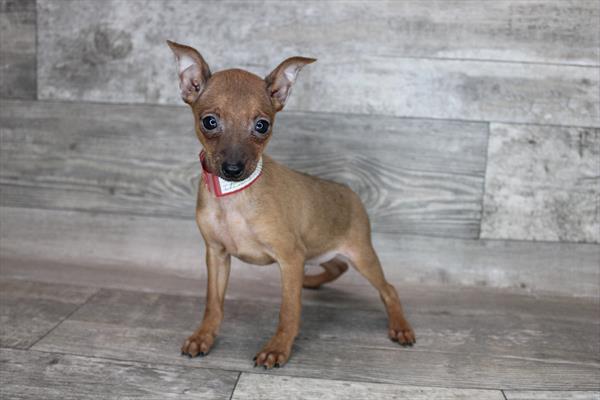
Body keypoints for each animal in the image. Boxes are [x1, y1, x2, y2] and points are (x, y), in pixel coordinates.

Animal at [166, 40, 414, 368]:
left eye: (262, 125)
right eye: (209, 121)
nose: (233, 168)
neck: (235, 196)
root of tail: (350, 192)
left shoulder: (290, 256)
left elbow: (289, 311)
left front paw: (278, 347)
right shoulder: (217, 254)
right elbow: (213, 303)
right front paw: (204, 336)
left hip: (360, 254)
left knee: (389, 289)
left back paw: (400, 326)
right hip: (319, 248)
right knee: (336, 266)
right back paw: (311, 281)